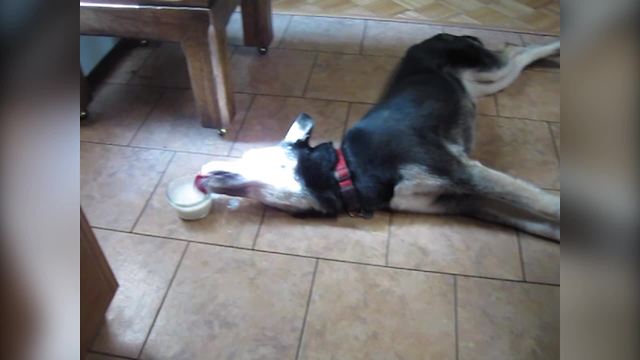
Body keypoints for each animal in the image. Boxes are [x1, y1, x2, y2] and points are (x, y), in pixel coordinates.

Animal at [195, 34, 560, 242]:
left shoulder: (463, 172)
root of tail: (438, 34)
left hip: (489, 69)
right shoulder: (464, 201)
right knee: (516, 54)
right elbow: (540, 223)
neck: (349, 172)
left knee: (519, 50)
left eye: (248, 156)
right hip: (487, 83)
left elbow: (545, 204)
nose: (200, 170)